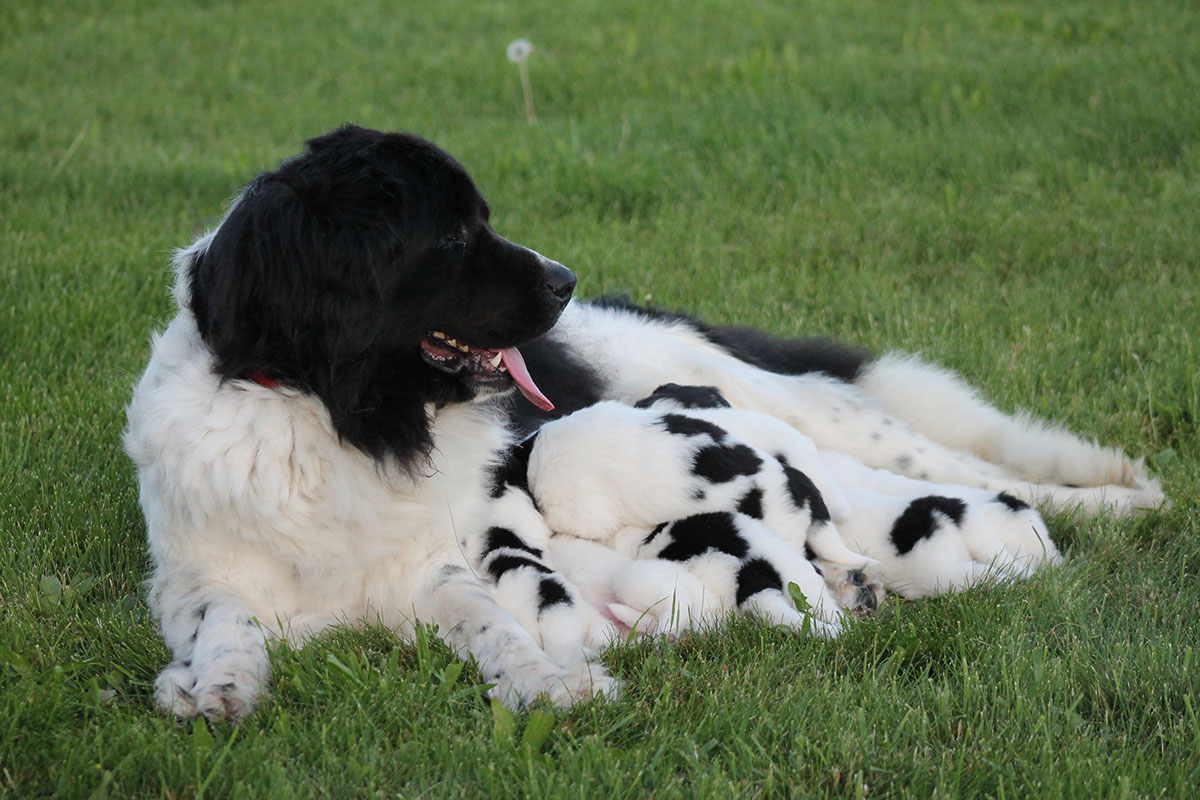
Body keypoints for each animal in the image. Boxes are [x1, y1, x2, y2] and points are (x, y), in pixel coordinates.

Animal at [126, 123, 1166, 719]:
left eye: (479, 220)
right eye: (453, 235)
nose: (562, 278)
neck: (338, 410)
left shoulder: (440, 564)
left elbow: (491, 621)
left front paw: (550, 682)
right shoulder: (197, 573)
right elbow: (225, 623)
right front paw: (216, 689)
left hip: (793, 410)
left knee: (972, 466)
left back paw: (1126, 502)